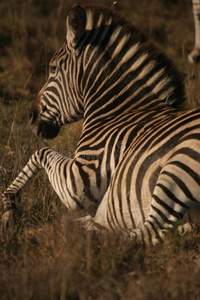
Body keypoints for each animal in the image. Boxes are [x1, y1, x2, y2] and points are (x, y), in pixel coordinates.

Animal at [1, 2, 200, 246]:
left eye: (53, 68)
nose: (31, 116)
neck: (116, 113)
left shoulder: (82, 178)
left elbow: (41, 152)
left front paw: (10, 205)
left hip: (177, 166)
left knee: (147, 232)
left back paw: (62, 234)